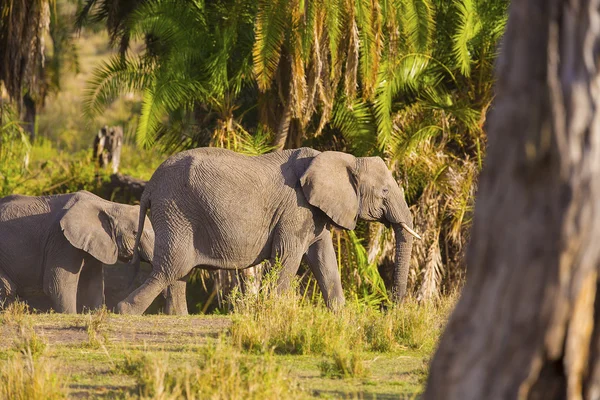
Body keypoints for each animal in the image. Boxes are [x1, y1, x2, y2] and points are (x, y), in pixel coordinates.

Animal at [0, 191, 156, 312]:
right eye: (135, 233)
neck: (108, 205)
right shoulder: (61, 240)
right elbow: (58, 286)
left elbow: (93, 287)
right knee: (8, 290)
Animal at [118, 148, 422, 316]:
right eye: (385, 191)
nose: (390, 308)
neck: (342, 158)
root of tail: (148, 188)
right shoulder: (296, 208)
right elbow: (288, 256)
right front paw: (269, 311)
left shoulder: (314, 211)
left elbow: (324, 259)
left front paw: (340, 315)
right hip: (175, 210)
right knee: (172, 267)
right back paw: (125, 311)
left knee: (178, 271)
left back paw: (179, 317)